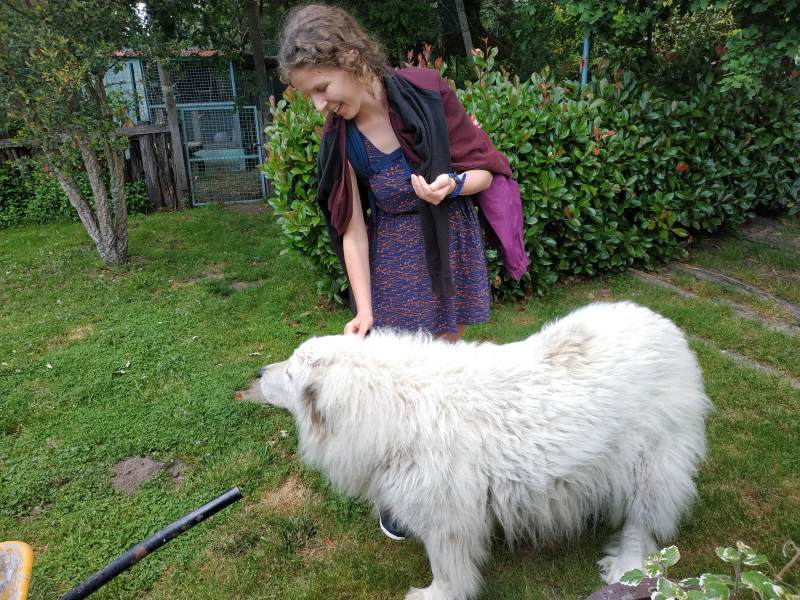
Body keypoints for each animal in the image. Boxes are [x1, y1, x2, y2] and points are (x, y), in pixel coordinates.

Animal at [253, 302, 708, 596]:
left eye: (289, 373)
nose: (258, 371)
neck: (392, 402)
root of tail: (667, 329)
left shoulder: (445, 517)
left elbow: (446, 569)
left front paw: (435, 596)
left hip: (649, 465)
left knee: (641, 526)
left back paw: (626, 568)